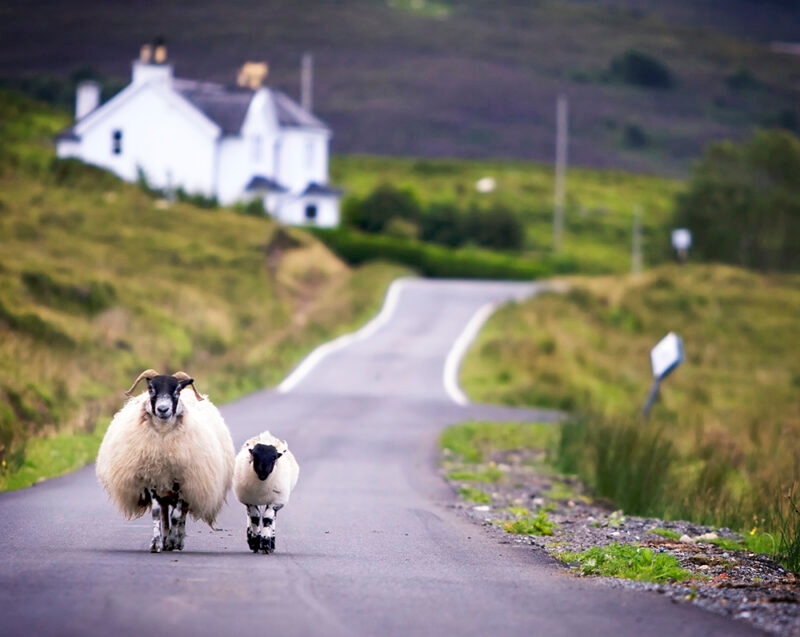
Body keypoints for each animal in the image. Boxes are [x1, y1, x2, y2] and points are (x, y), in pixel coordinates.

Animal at [95, 369, 235, 553]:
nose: (163, 409)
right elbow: (157, 513)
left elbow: (176, 515)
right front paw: (156, 543)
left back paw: (177, 540)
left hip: (190, 485)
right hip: (164, 487)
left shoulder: (183, 480)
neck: (163, 439)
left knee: (181, 513)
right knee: (163, 512)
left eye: (177, 390)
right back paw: (166, 537)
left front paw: (173, 541)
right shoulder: (152, 478)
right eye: (150, 389)